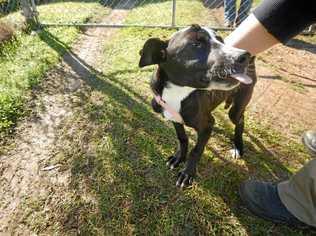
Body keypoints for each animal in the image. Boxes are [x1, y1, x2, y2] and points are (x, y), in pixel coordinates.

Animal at [139, 24, 256, 187]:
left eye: (221, 41)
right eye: (196, 44)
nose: (244, 56)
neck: (179, 92)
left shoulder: (207, 124)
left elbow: (196, 150)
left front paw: (187, 173)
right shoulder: (174, 119)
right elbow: (182, 138)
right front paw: (179, 158)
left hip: (237, 107)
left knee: (240, 120)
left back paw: (238, 146)